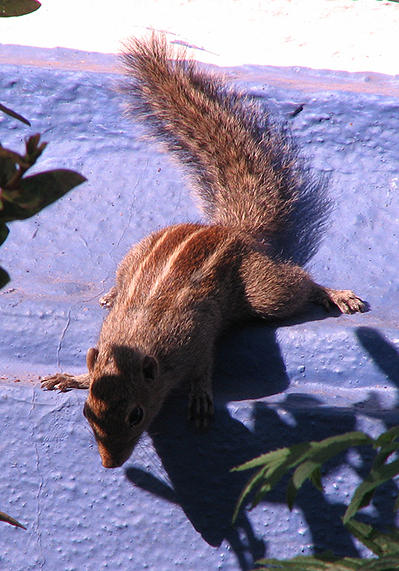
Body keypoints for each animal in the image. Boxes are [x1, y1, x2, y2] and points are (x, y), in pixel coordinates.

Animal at [41, 32, 366, 470]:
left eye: (136, 415)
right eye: (88, 413)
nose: (109, 463)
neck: (136, 342)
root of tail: (227, 228)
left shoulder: (195, 335)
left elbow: (203, 367)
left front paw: (199, 397)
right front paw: (71, 377)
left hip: (264, 291)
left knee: (297, 284)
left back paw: (335, 294)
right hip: (135, 251)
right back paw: (111, 292)